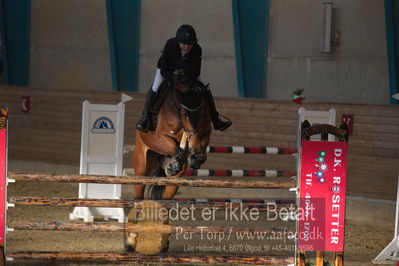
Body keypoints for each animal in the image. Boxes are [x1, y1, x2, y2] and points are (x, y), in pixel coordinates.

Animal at [133, 72, 212, 200]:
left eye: (202, 111)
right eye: (184, 114)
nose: (194, 148)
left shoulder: (205, 131)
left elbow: (200, 154)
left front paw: (194, 160)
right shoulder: (161, 137)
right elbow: (179, 152)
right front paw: (174, 165)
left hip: (173, 183)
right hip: (141, 167)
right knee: (139, 190)